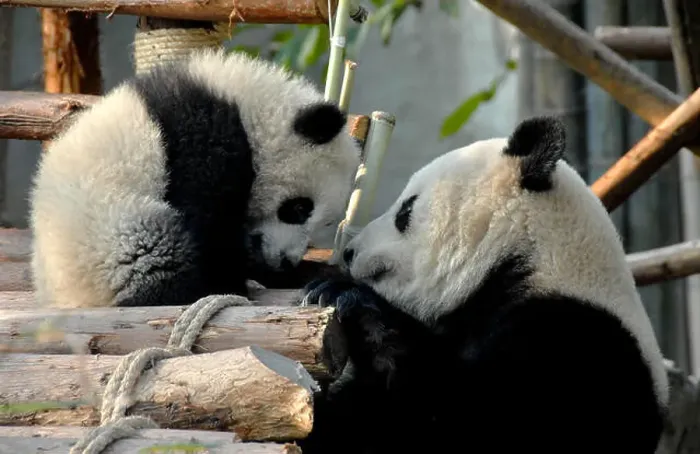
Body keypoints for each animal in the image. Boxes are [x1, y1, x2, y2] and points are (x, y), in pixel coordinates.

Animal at [29, 48, 361, 309]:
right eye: (299, 208)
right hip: (113, 239)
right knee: (159, 258)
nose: (285, 260)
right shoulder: (204, 133)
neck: (252, 106)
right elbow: (209, 216)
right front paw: (232, 280)